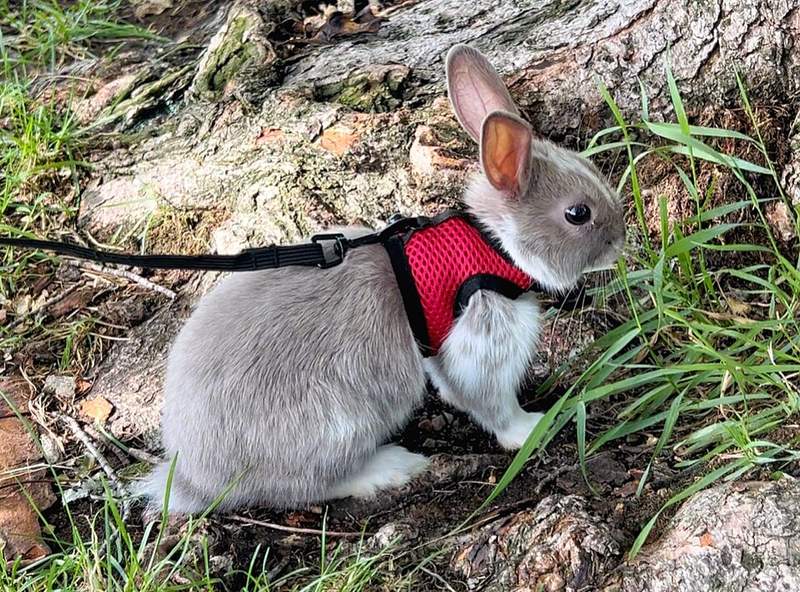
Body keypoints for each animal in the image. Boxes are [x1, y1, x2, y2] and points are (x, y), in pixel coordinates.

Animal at [137, 44, 625, 514]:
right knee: (311, 487)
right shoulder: (481, 337)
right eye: (577, 213)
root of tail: (196, 481)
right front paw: (532, 427)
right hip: (336, 426)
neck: (494, 242)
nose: (620, 242)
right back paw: (391, 467)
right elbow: (491, 403)